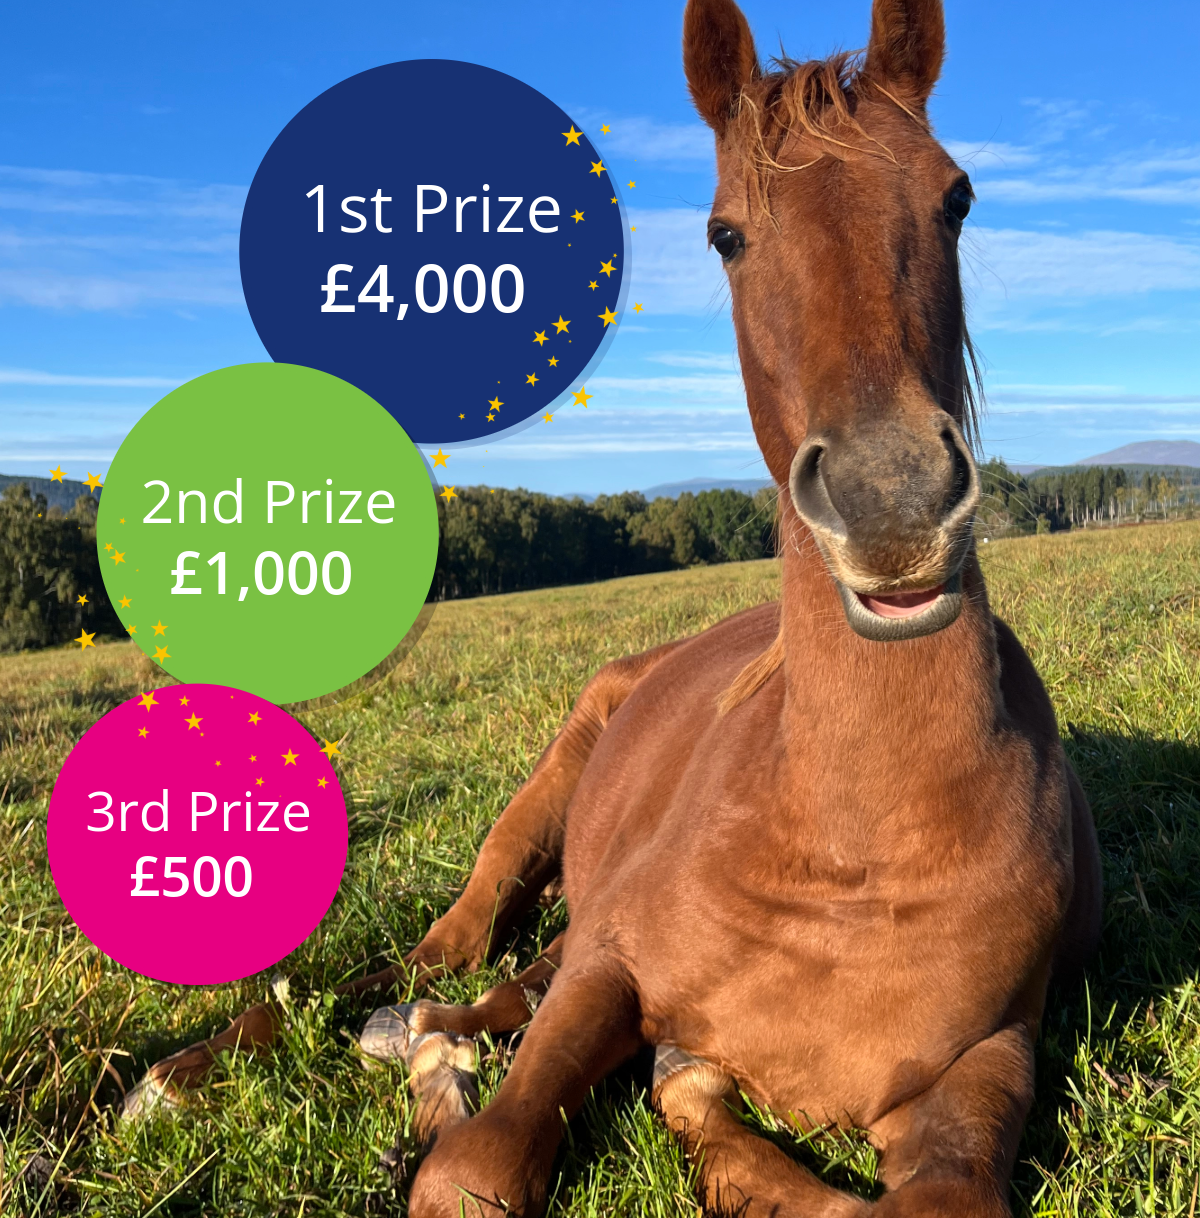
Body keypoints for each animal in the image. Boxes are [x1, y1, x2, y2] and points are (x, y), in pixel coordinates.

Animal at [125, 1, 1103, 1213]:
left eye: (956, 197)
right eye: (726, 235)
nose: (894, 504)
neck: (859, 841)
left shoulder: (985, 1061)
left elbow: (900, 1188)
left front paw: (690, 1099)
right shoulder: (612, 967)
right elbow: (479, 1171)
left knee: (492, 993)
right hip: (532, 823)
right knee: (435, 959)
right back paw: (191, 1072)